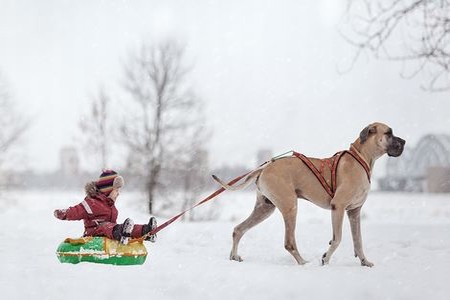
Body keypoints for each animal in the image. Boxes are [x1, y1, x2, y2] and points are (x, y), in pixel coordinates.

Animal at [213, 122, 406, 268]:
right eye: (389, 133)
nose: (404, 141)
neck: (361, 158)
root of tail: (264, 167)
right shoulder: (338, 207)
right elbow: (337, 239)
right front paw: (325, 259)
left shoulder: (354, 212)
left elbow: (358, 241)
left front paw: (365, 262)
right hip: (290, 206)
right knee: (289, 242)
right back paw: (303, 263)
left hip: (265, 208)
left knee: (238, 229)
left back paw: (234, 257)